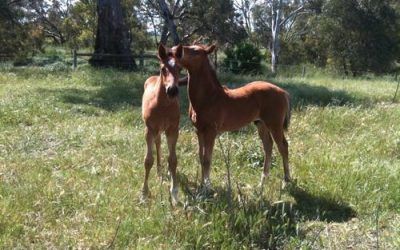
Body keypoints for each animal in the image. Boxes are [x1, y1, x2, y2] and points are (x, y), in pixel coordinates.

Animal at [141, 44, 182, 205]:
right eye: (163, 68)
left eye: (180, 68)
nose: (172, 90)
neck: (163, 105)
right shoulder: (149, 129)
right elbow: (148, 161)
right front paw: (144, 194)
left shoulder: (173, 130)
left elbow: (173, 160)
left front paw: (174, 193)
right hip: (155, 130)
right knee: (157, 144)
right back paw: (158, 171)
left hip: (162, 130)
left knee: (159, 144)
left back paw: (161, 171)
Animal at [171, 44, 290, 188]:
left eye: (197, 51)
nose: (175, 50)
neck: (209, 97)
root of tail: (283, 92)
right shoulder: (198, 130)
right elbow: (201, 157)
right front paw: (202, 183)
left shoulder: (211, 131)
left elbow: (207, 159)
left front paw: (207, 186)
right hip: (261, 124)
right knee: (268, 146)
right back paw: (262, 181)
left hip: (275, 125)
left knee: (283, 147)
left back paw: (286, 181)